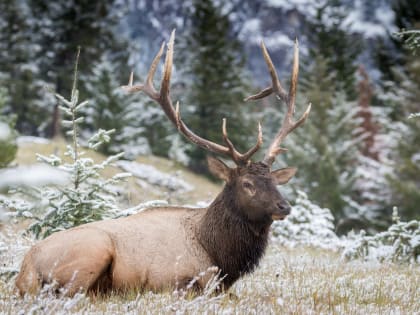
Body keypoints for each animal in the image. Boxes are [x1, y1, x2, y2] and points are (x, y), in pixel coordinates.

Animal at [15, 30, 308, 298]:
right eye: (247, 183)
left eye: (275, 181)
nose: (284, 206)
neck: (219, 255)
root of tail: (24, 269)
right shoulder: (172, 278)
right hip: (93, 250)